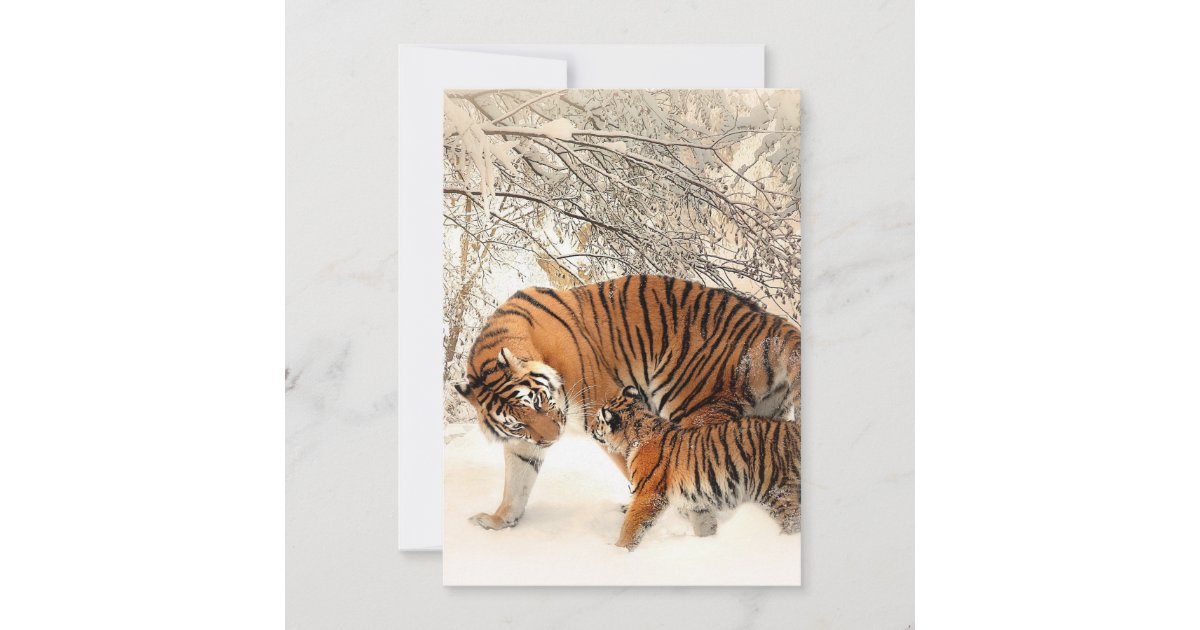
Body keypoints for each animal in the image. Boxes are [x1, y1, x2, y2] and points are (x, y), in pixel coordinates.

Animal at [453, 275, 801, 530]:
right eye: (517, 423)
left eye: (538, 401)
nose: (552, 439)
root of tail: (773, 323)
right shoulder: (524, 442)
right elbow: (517, 481)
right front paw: (498, 520)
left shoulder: (608, 411)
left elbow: (637, 469)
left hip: (694, 407)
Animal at [587, 385, 800, 550]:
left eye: (598, 420)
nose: (590, 429)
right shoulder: (698, 501)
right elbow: (704, 525)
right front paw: (707, 543)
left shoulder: (648, 494)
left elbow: (631, 525)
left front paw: (618, 551)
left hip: (778, 493)